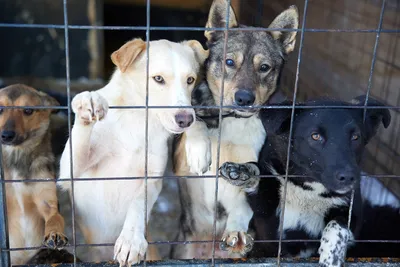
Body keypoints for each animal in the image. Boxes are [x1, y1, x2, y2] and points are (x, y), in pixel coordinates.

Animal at [0, 84, 68, 266]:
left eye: (28, 110)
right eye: (0, 109)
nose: (6, 135)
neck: (17, 158)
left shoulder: (47, 202)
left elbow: (55, 218)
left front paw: (55, 234)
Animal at [59, 38, 209, 266]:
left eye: (190, 80)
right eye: (158, 79)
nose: (184, 119)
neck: (138, 121)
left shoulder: (153, 179)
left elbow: (138, 203)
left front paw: (131, 240)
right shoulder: (70, 174)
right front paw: (87, 104)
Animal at [220, 95, 398, 266]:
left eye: (355, 137)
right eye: (315, 136)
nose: (348, 177)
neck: (308, 190)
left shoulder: (353, 215)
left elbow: (336, 225)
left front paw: (331, 257)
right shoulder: (267, 220)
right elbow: (260, 178)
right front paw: (241, 171)